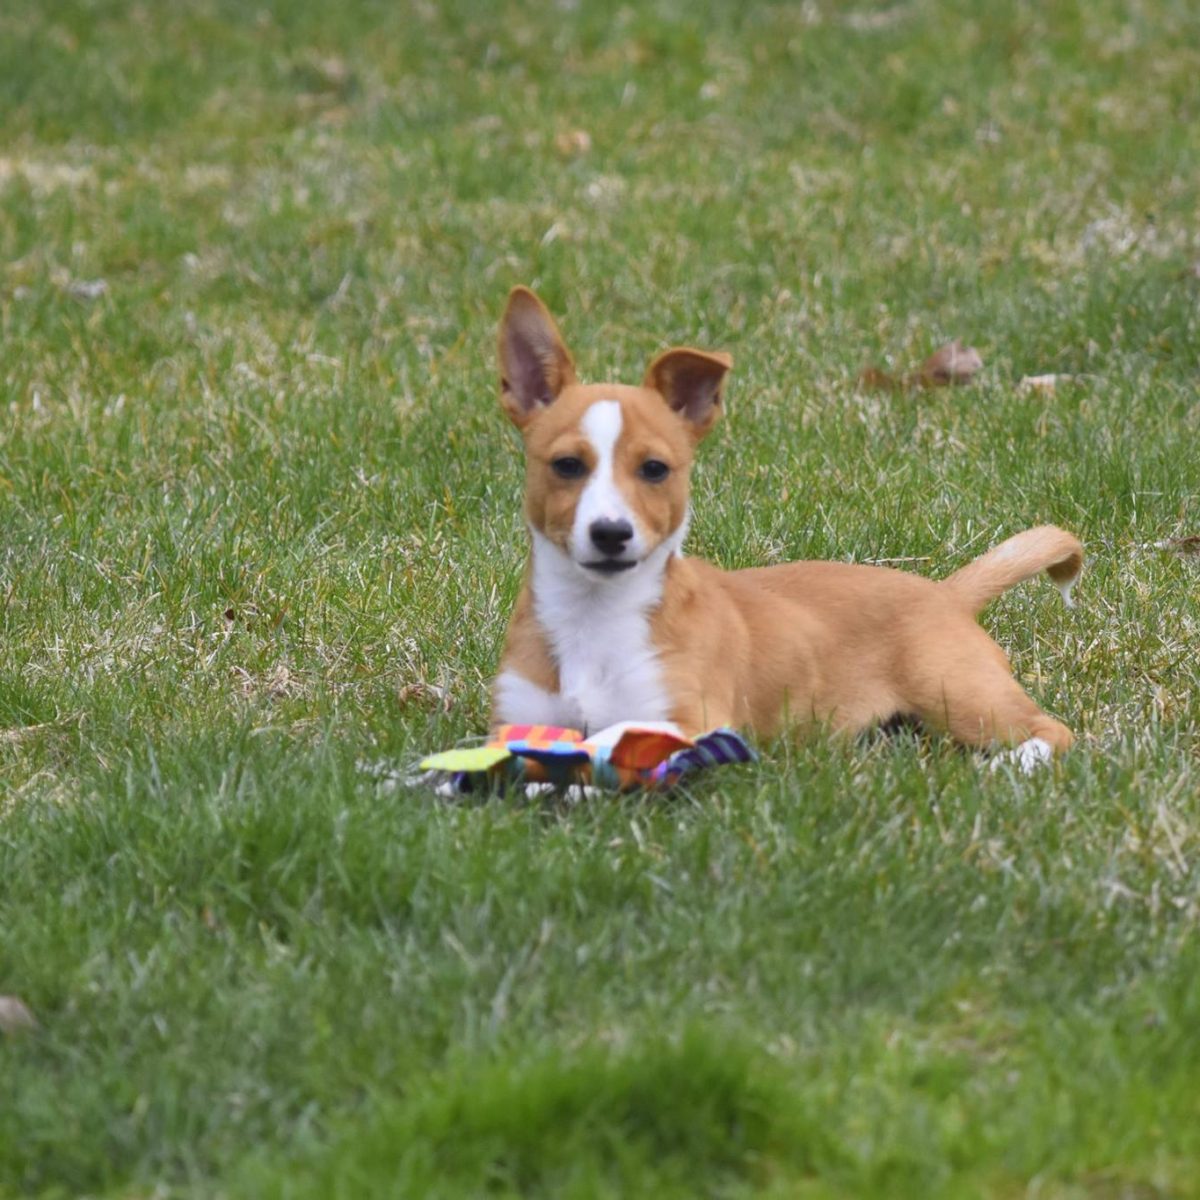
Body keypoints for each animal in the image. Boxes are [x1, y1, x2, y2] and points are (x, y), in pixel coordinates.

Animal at [484, 289, 1080, 768]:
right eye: (566, 465)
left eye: (654, 469)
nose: (611, 534)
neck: (595, 616)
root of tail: (946, 594)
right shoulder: (519, 718)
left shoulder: (685, 721)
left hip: (958, 693)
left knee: (1051, 730)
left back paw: (1010, 766)